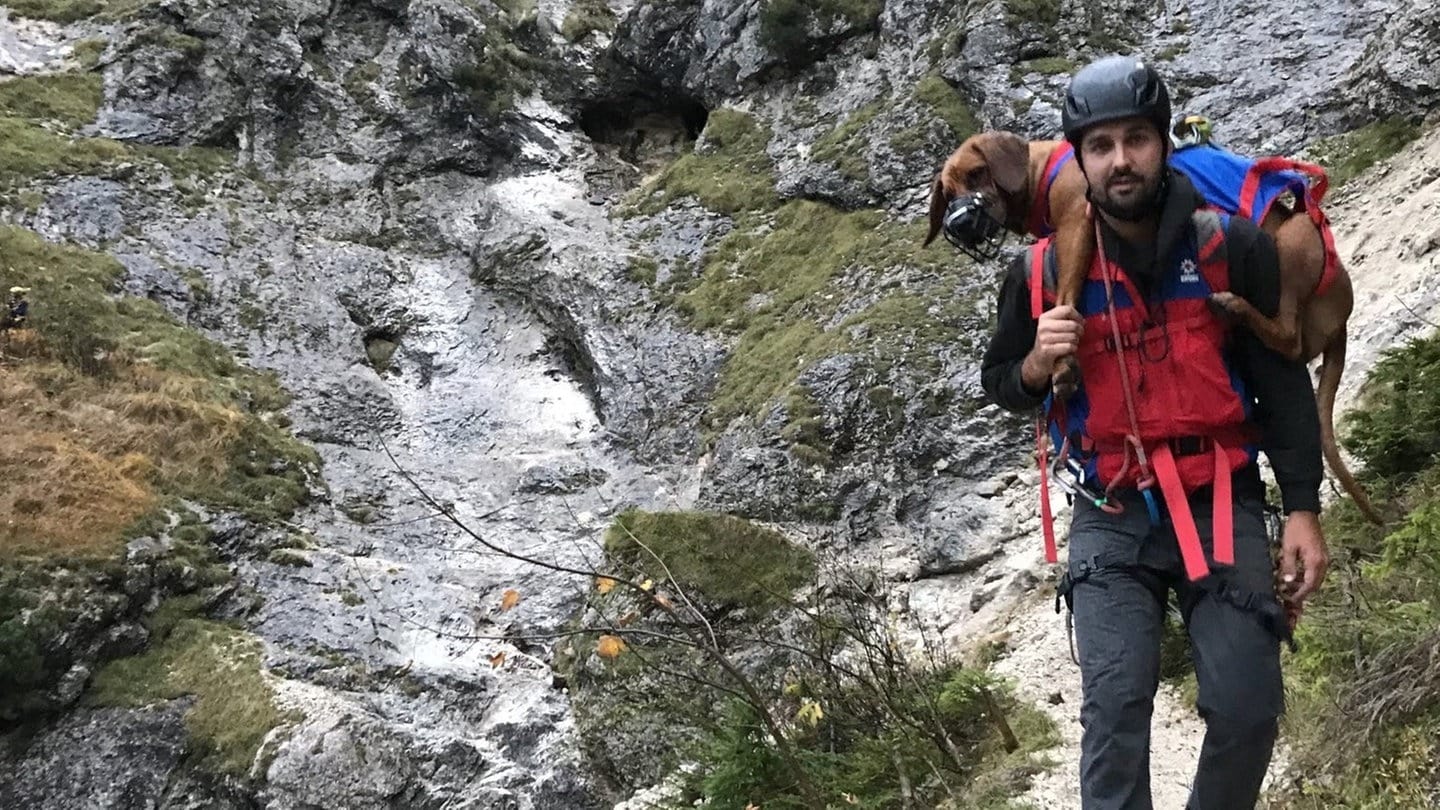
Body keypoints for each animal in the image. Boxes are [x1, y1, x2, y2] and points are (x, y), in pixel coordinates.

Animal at [933, 131, 1382, 524]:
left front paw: (1062, 364)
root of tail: (1341, 318)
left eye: (976, 173)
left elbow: (1066, 295)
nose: (958, 222)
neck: (1043, 172)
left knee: (1289, 338)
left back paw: (1234, 306)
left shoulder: (1078, 224)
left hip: (1293, 239)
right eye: (947, 192)